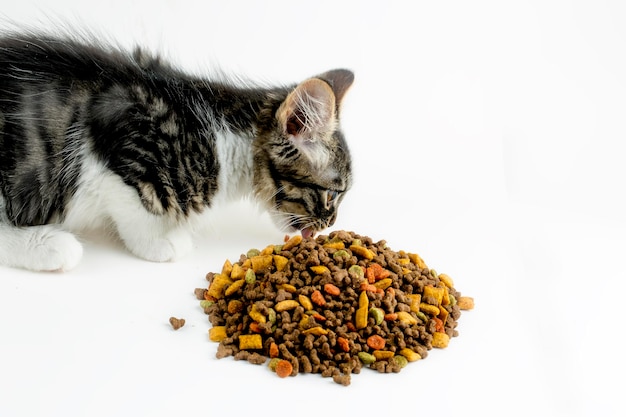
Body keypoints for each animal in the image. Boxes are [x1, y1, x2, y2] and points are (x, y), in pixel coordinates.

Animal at [0, 34, 352, 272]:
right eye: (333, 195)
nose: (330, 224)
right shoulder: (120, 151)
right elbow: (136, 210)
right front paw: (159, 241)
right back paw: (51, 245)